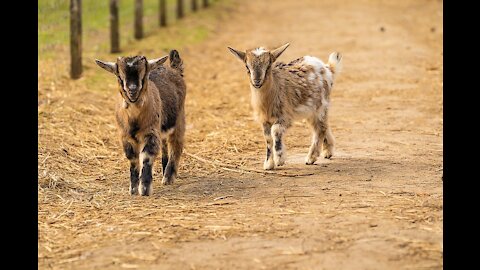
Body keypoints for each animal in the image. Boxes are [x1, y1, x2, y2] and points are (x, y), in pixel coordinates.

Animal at [95, 49, 186, 195]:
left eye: (144, 75)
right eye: (120, 77)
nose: (132, 90)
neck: (134, 118)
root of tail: (174, 69)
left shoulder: (150, 132)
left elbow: (146, 157)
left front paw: (144, 189)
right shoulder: (125, 136)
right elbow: (132, 159)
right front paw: (133, 189)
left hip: (179, 120)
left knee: (176, 145)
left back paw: (168, 177)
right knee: (165, 144)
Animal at [228, 43, 344, 171]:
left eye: (268, 66)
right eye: (247, 67)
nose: (257, 81)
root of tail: (328, 68)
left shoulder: (285, 117)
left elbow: (275, 131)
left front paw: (279, 159)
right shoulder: (265, 120)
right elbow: (268, 139)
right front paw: (268, 164)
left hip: (320, 106)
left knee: (320, 129)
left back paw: (310, 158)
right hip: (313, 111)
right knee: (323, 126)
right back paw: (327, 151)